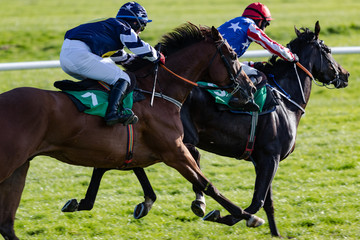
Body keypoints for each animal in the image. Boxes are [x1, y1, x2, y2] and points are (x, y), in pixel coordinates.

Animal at [0, 23, 264, 240]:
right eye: (232, 56)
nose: (250, 89)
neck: (157, 92)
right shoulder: (174, 152)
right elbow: (207, 183)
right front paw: (246, 215)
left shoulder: (123, 151)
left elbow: (111, 175)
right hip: (9, 163)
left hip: (20, 167)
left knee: (7, 225)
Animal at [61, 21, 348, 237]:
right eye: (328, 50)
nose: (344, 75)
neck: (285, 98)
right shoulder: (270, 157)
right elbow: (257, 201)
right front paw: (224, 215)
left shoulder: (264, 159)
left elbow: (267, 202)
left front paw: (274, 233)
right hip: (174, 138)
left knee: (121, 160)